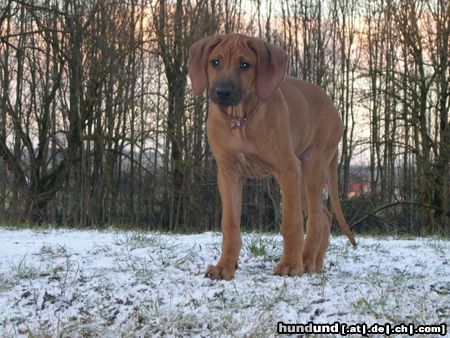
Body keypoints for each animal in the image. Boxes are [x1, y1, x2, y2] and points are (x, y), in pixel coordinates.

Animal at [187, 33, 356, 280]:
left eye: (245, 65)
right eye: (215, 62)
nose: (223, 92)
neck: (241, 121)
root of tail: (332, 103)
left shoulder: (287, 169)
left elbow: (291, 222)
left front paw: (290, 265)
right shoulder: (228, 173)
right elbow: (230, 224)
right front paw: (224, 266)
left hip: (311, 167)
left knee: (316, 219)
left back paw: (305, 261)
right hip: (301, 182)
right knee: (325, 216)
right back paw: (315, 263)